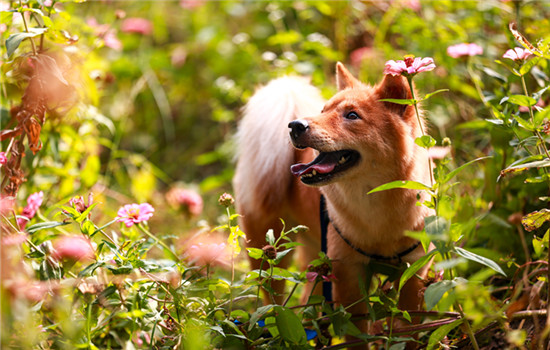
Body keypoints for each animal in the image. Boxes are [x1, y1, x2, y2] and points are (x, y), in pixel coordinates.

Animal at [233, 62, 436, 344]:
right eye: (323, 111)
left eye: (351, 115)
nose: (295, 125)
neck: (377, 207)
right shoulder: (348, 276)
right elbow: (357, 336)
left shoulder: (414, 272)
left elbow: (407, 332)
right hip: (268, 255)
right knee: (272, 301)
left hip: (315, 260)